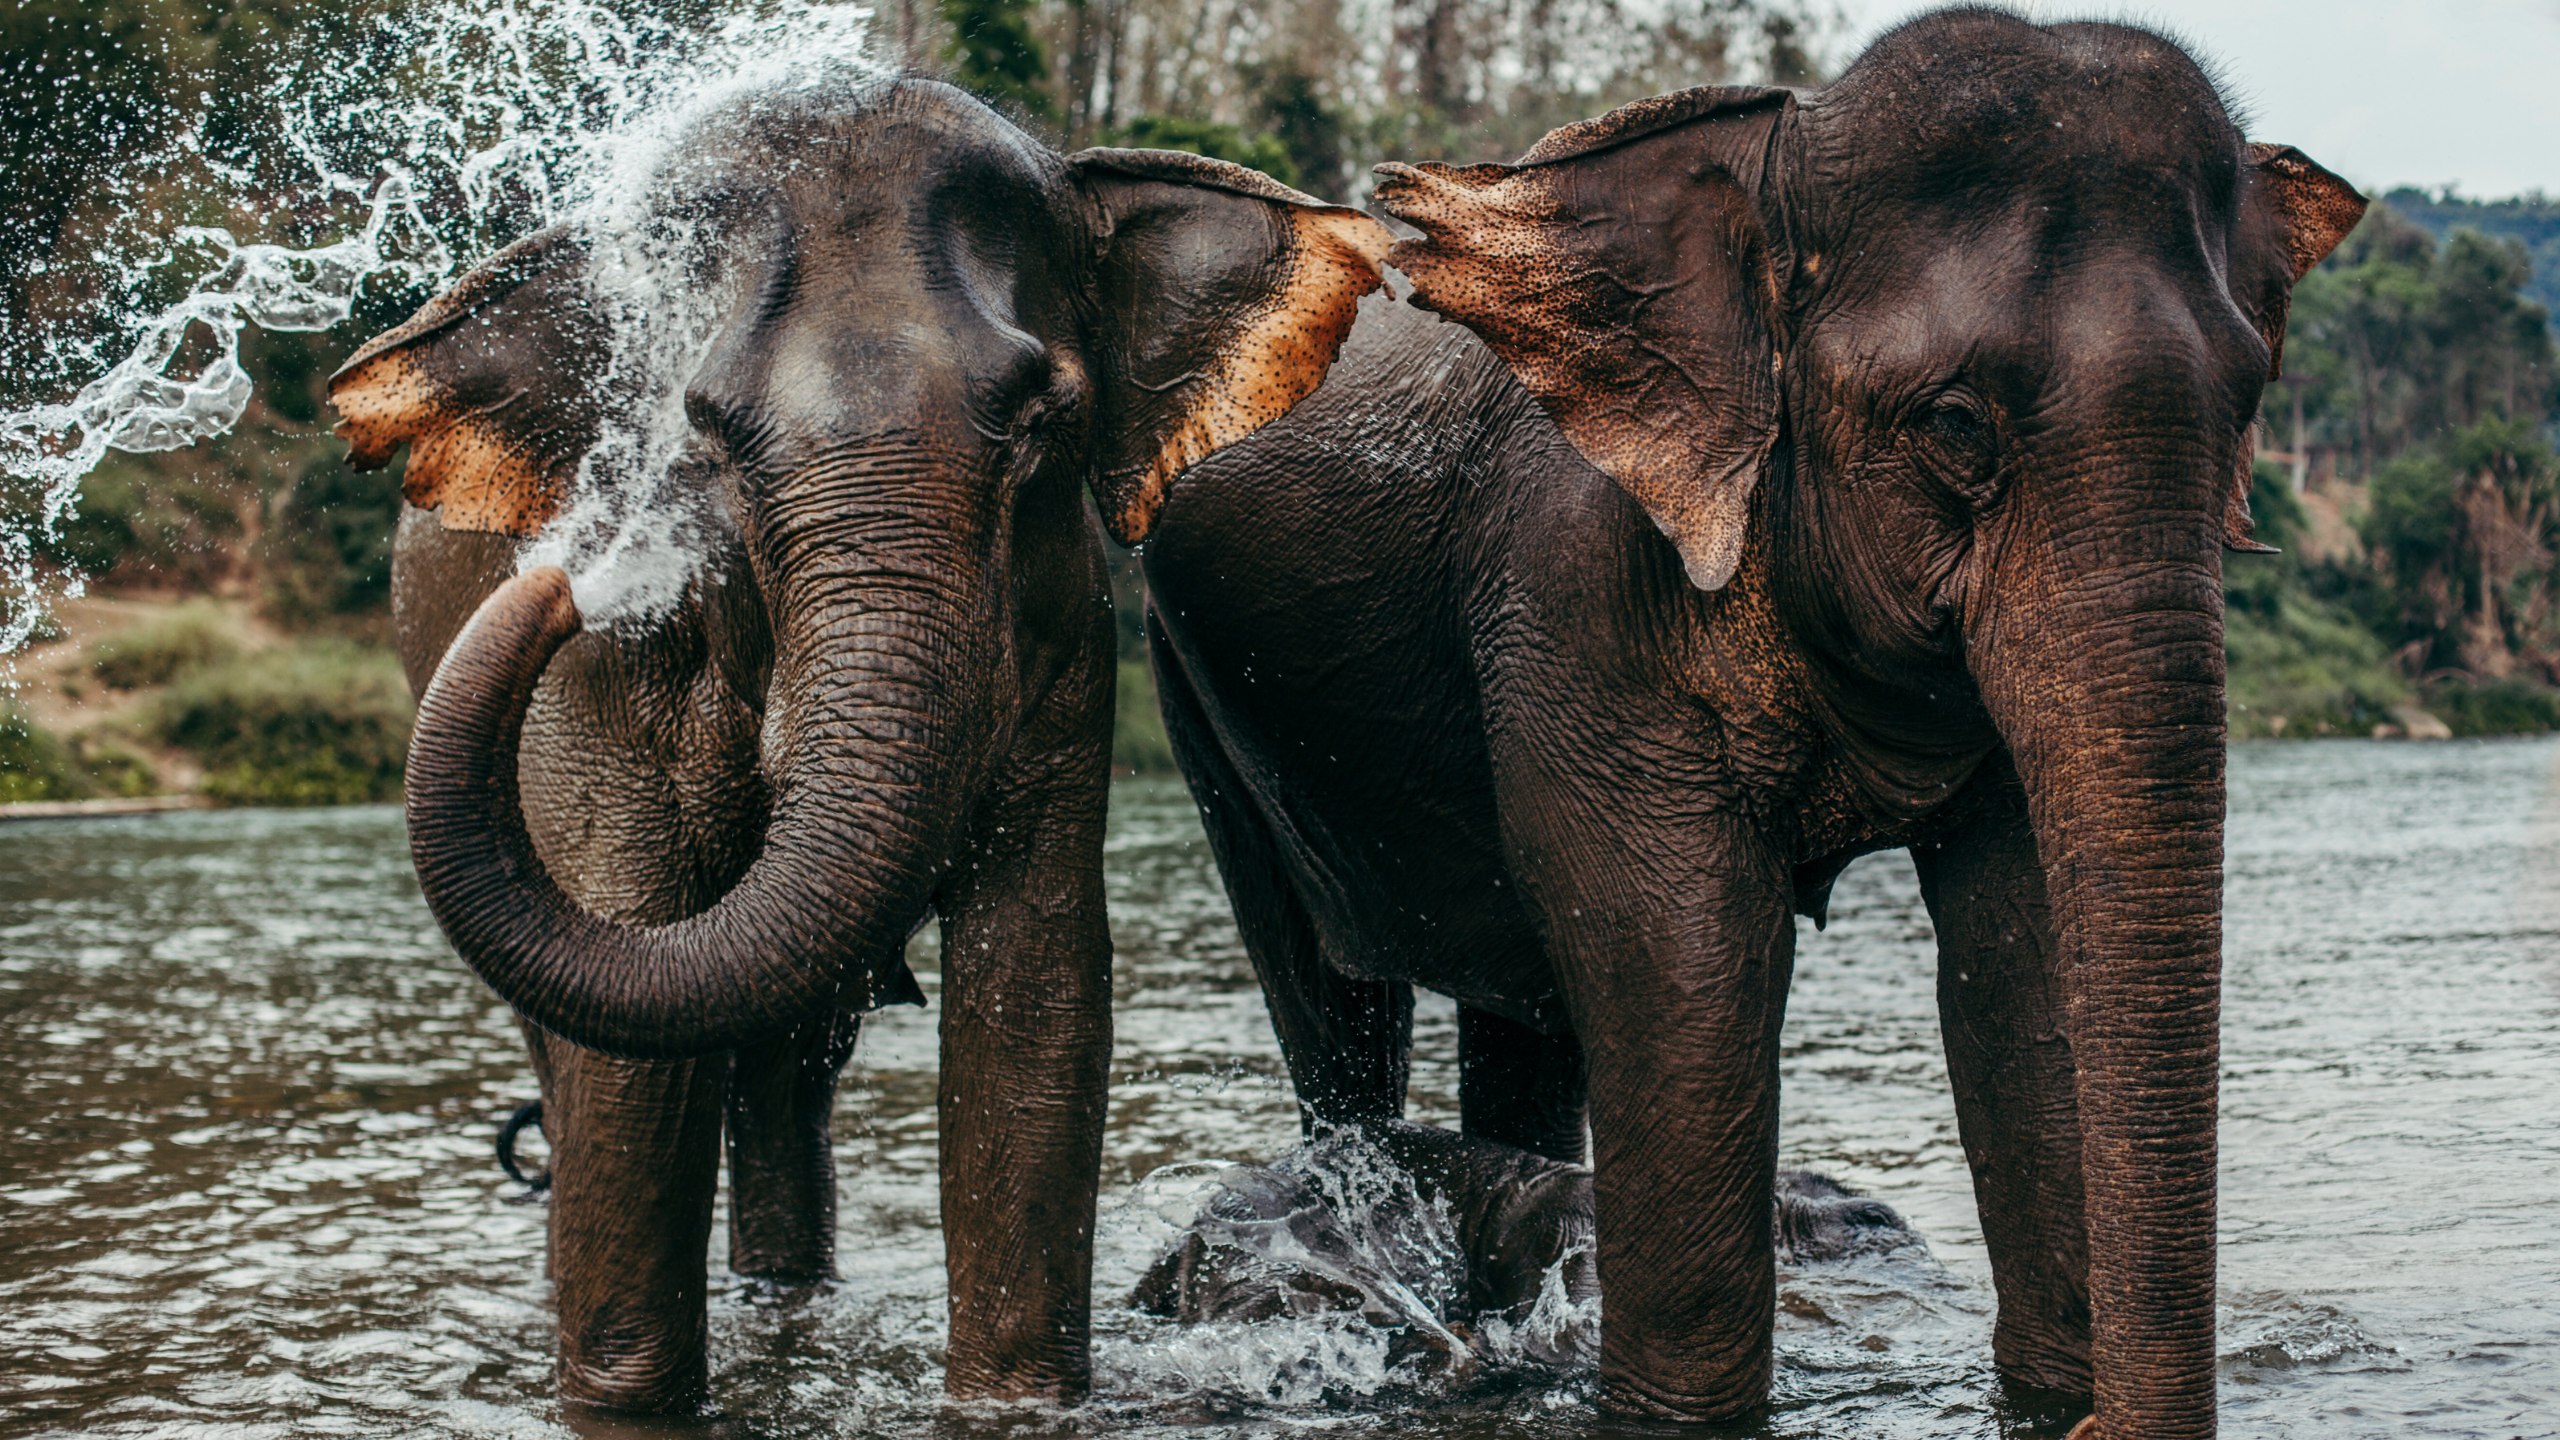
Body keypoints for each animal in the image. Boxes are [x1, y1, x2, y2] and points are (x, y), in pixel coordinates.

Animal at [335, 75, 1402, 1404]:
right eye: (702, 434)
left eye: (1040, 420)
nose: (569, 582)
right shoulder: (603, 687)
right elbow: (630, 1060)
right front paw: (620, 1398)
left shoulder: (1062, 642)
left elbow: (1033, 1000)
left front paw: (1015, 1403)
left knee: (783, 1073)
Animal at [1136, 14, 2355, 1434]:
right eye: (1953, 424)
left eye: (2248, 404)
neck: (1777, 154)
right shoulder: (1575, 584)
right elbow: (1685, 950)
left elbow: (2020, 949)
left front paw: (2054, 1391)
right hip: (1191, 686)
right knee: (1334, 996)